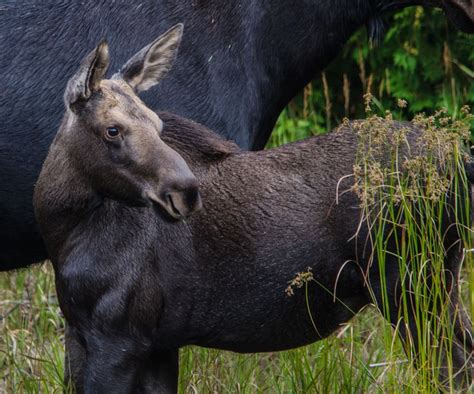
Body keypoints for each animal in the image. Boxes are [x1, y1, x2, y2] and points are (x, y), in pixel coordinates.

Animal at [36, 29, 474, 392]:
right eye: (112, 129)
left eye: (158, 125)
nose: (186, 191)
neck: (62, 232)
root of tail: (460, 160)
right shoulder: (141, 341)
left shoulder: (118, 336)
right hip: (436, 285)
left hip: (412, 286)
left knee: (450, 370)